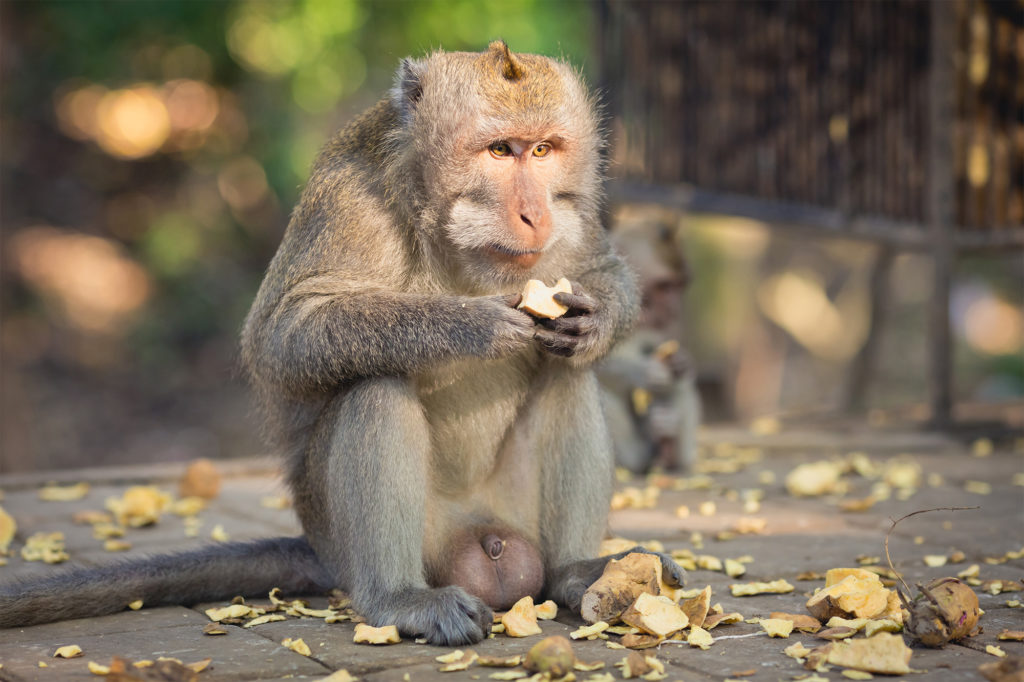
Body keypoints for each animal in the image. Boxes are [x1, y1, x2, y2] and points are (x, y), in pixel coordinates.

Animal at [4, 41, 688, 643]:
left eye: (544, 149)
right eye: (500, 150)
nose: (534, 215)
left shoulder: (575, 217)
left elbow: (603, 272)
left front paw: (591, 320)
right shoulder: (352, 202)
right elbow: (284, 333)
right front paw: (471, 325)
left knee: (567, 374)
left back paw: (576, 573)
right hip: (364, 532)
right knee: (376, 385)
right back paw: (397, 599)